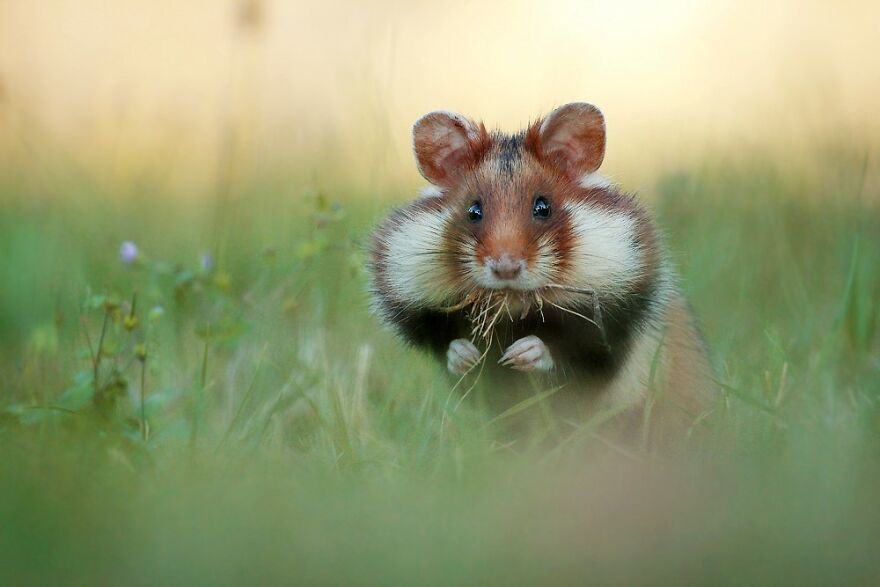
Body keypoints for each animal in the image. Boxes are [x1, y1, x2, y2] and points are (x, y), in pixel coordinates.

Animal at [369, 103, 714, 443]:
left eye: (543, 207)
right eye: (473, 211)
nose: (506, 268)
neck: (512, 314)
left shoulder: (613, 330)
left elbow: (574, 360)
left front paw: (521, 354)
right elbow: (451, 352)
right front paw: (466, 356)